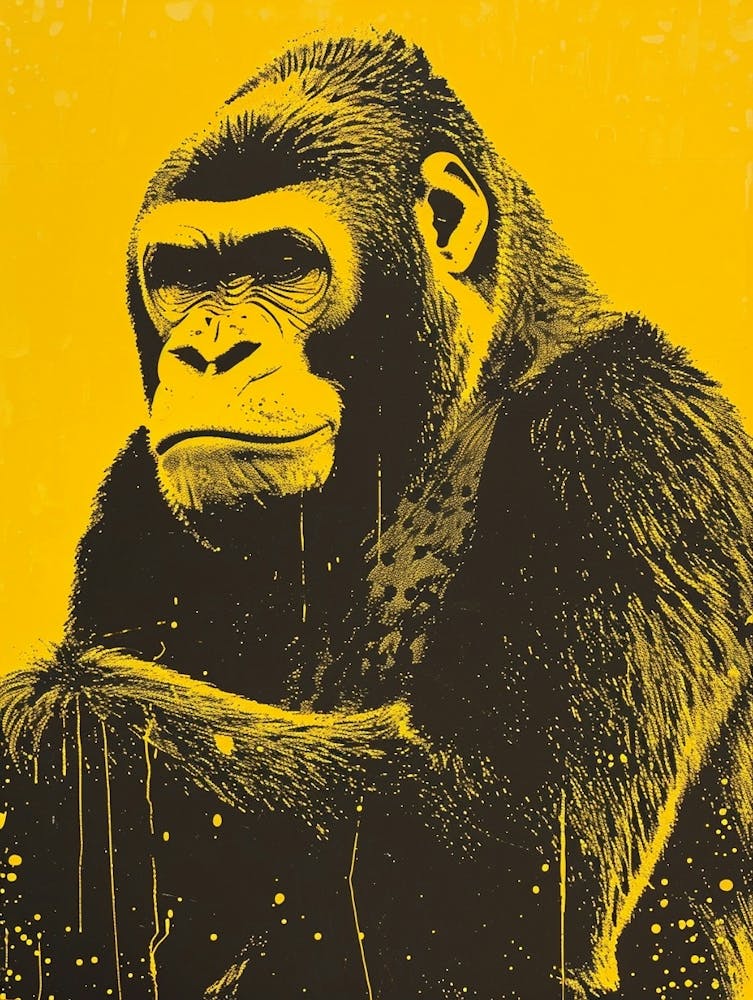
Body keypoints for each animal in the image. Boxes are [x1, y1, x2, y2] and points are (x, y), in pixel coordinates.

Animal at [1, 29, 752, 1000]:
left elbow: (509, 849)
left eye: (284, 264)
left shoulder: (626, 428)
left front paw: (33, 735)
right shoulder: (136, 495)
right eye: (181, 276)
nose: (207, 352)